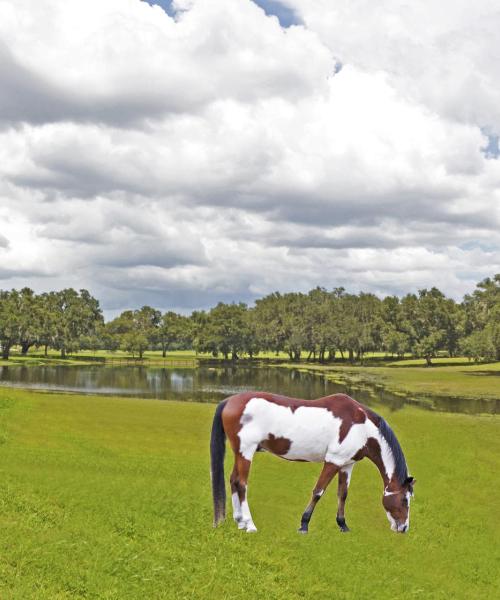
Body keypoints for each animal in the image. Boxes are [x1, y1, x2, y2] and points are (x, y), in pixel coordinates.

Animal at [209, 394, 416, 536]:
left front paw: (343, 525)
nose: (403, 527)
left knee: (233, 480)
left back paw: (239, 522)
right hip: (246, 451)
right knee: (242, 484)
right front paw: (304, 525)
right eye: (404, 500)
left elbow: (343, 494)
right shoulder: (333, 461)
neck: (362, 427)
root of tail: (229, 401)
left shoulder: (346, 465)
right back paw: (250, 525)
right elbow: (318, 491)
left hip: (239, 453)